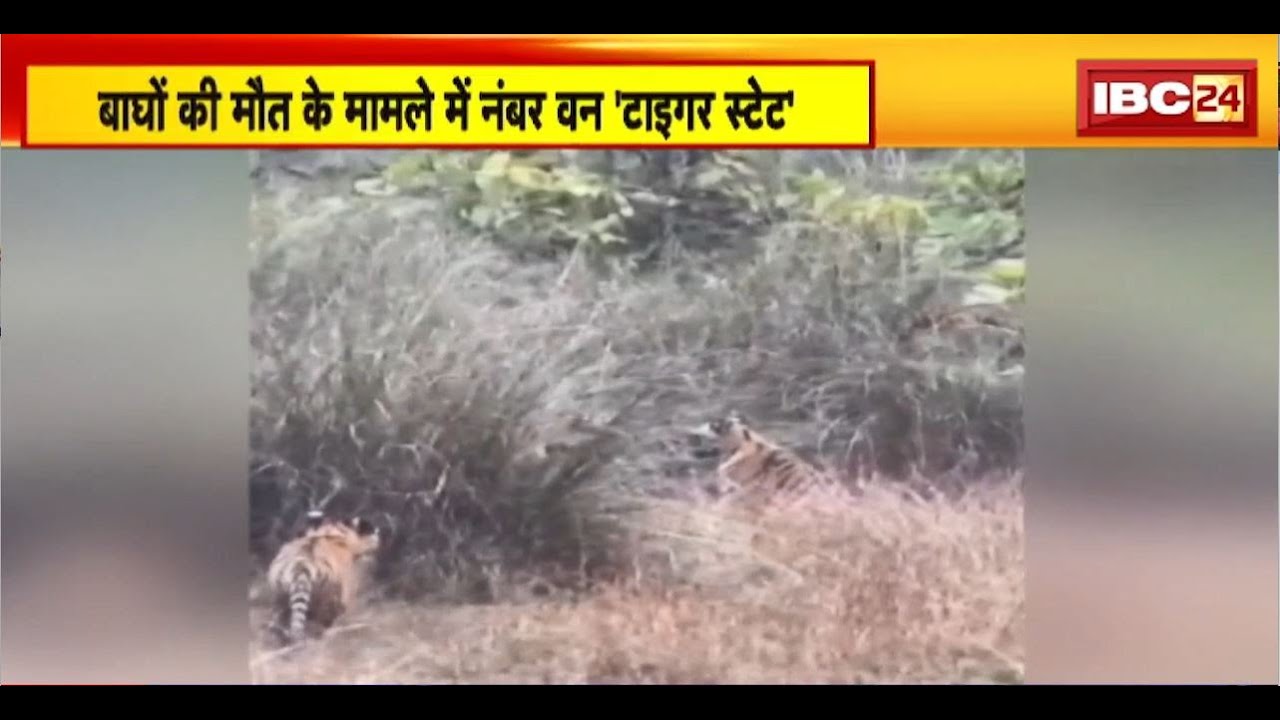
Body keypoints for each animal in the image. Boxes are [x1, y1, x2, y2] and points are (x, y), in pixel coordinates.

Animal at [265, 510, 382, 645]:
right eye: (372, 530)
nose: (379, 536)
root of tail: (301, 566)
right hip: (327, 600)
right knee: (321, 623)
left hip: (279, 595)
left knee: (278, 621)